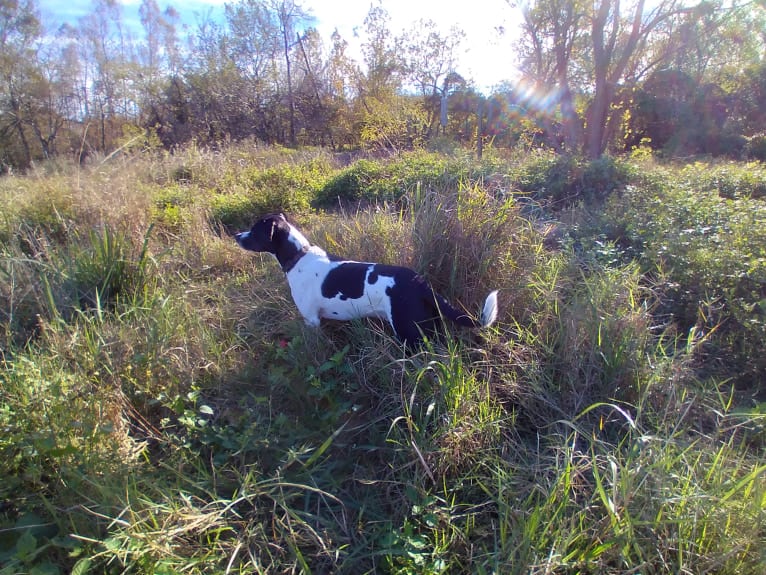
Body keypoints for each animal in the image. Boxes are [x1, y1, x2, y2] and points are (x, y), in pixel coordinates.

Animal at [234, 213, 500, 344]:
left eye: (255, 230)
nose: (236, 235)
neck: (299, 256)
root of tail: (419, 282)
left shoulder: (312, 321)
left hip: (408, 333)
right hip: (426, 327)